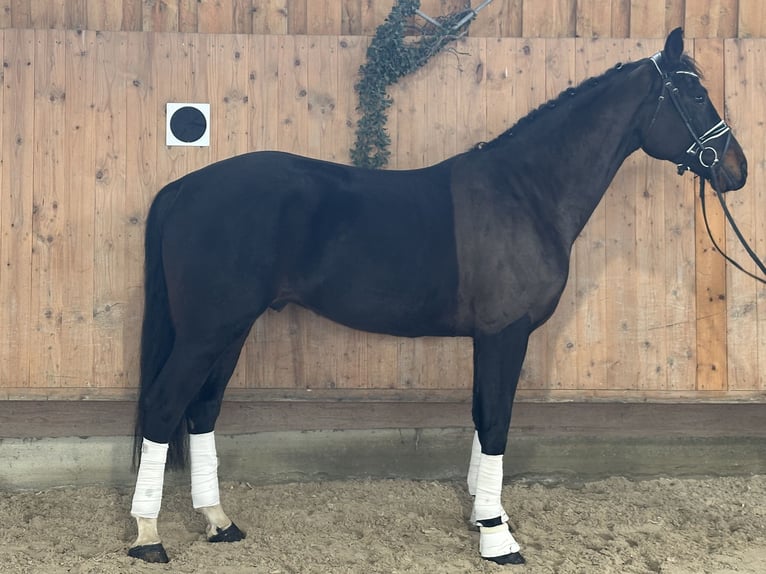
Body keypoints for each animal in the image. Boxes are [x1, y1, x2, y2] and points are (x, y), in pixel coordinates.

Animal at [128, 28, 747, 565]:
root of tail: (184, 187)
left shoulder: (489, 337)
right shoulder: (505, 333)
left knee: (201, 409)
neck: (525, 194)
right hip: (207, 331)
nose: (737, 170)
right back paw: (148, 537)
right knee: (163, 405)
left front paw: (484, 516)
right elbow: (496, 421)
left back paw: (219, 522)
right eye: (695, 93)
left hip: (230, 329)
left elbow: (479, 415)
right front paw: (498, 538)